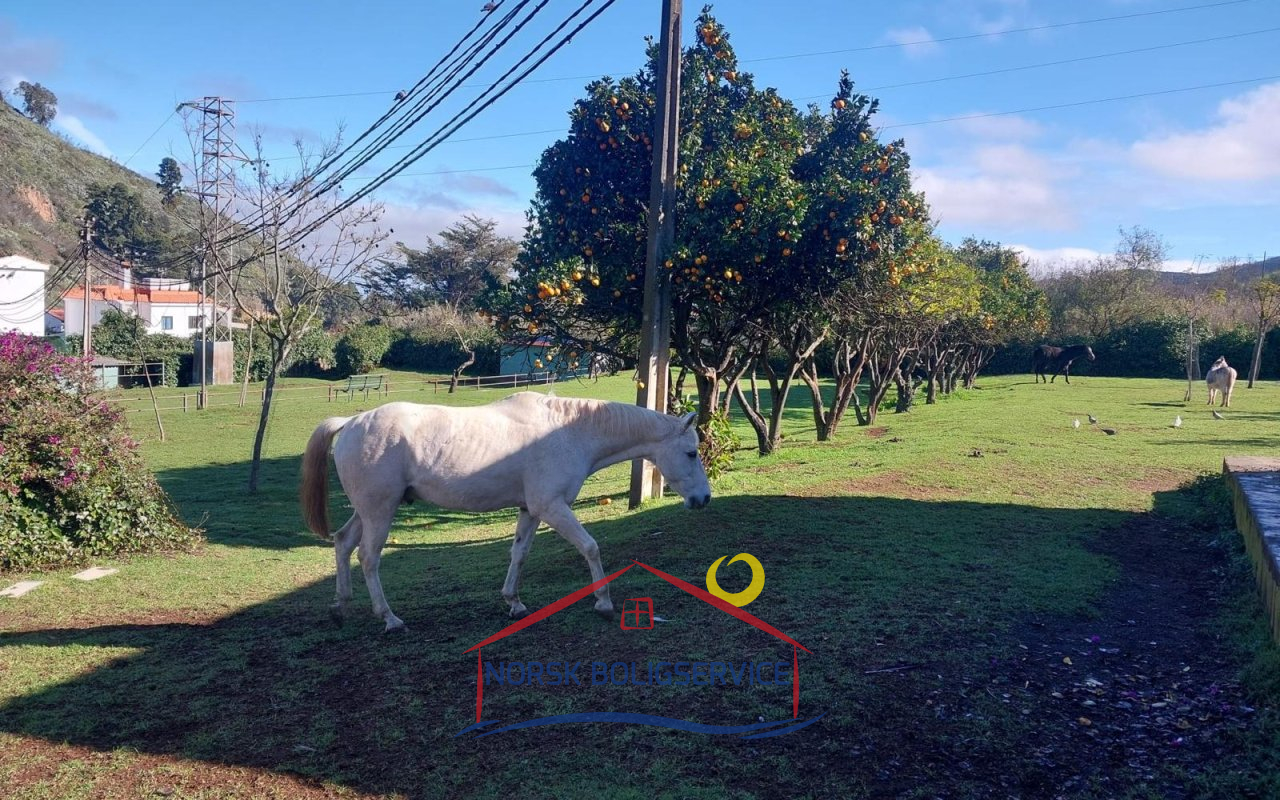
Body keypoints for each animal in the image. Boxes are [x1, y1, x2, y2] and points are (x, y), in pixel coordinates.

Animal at [300, 392, 712, 632]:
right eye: (691, 453)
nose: (704, 498)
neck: (568, 432)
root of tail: (351, 423)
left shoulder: (531, 509)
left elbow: (519, 554)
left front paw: (514, 602)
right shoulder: (552, 506)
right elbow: (590, 547)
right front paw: (604, 603)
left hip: (368, 511)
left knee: (343, 544)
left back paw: (341, 607)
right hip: (379, 512)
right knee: (368, 558)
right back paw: (389, 618)